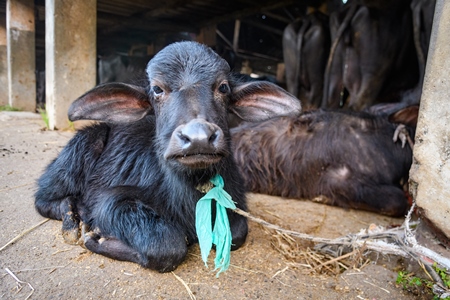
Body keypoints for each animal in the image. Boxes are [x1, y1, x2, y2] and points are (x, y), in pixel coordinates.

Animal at [35, 41, 300, 272]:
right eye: (157, 89)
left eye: (223, 87)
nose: (198, 137)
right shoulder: (111, 200)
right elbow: (167, 246)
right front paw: (97, 237)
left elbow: (238, 233)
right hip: (84, 145)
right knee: (44, 199)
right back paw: (73, 221)